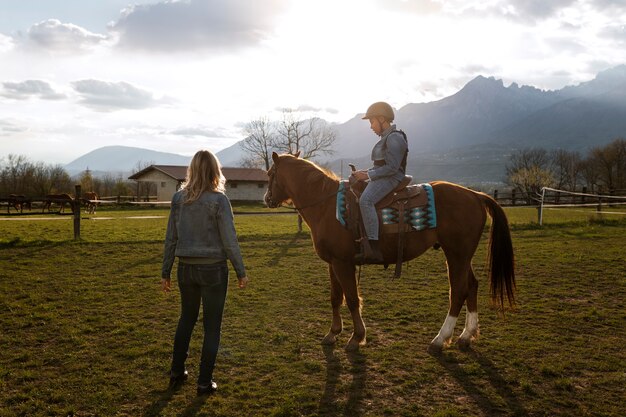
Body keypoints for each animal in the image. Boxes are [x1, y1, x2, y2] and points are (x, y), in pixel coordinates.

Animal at [264, 153, 512, 352]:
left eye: (270, 173)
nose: (267, 198)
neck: (326, 206)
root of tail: (476, 195)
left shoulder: (343, 263)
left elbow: (351, 299)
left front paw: (357, 338)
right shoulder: (332, 263)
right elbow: (335, 298)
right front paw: (332, 333)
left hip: (456, 255)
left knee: (458, 292)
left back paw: (440, 339)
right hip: (462, 256)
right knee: (472, 286)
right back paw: (466, 336)